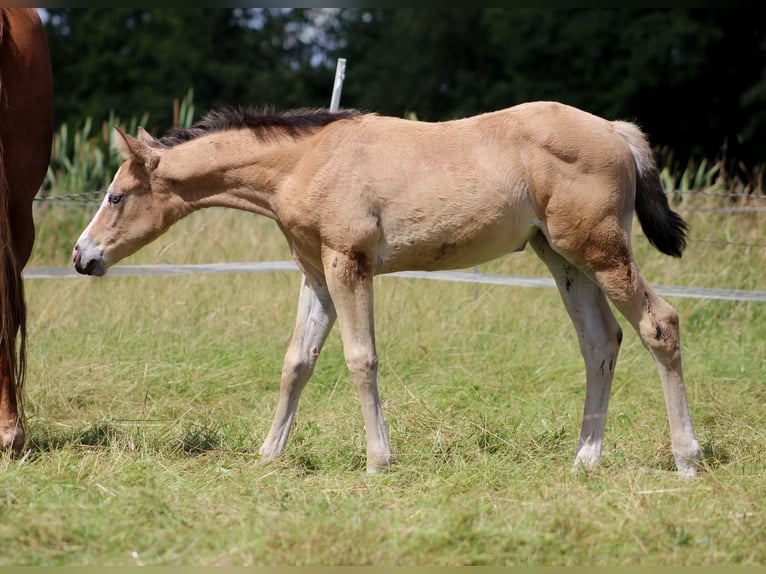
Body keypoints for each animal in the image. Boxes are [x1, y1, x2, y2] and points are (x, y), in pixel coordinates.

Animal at [75, 102, 704, 476]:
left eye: (116, 196)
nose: (83, 257)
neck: (304, 161)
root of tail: (617, 132)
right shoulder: (315, 273)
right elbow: (297, 361)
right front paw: (269, 453)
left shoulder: (347, 264)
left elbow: (361, 358)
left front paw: (379, 460)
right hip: (563, 258)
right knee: (600, 343)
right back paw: (585, 459)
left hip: (599, 251)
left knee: (659, 325)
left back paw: (686, 457)